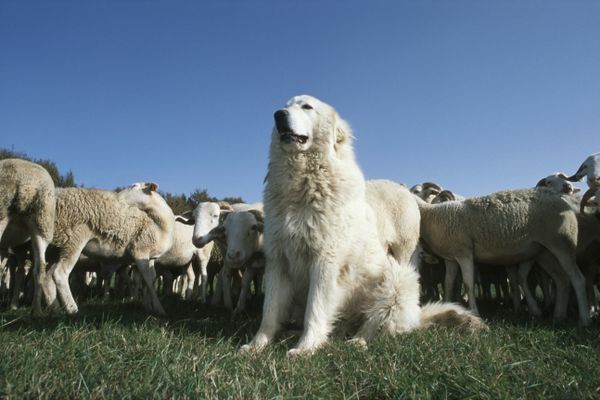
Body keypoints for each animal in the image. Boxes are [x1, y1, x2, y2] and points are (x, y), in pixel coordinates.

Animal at [44, 181, 173, 316]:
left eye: (134, 186)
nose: (117, 196)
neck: (160, 226)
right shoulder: (140, 252)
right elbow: (148, 280)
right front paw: (159, 309)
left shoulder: (150, 257)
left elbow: (150, 280)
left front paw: (149, 306)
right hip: (74, 238)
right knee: (60, 273)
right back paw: (72, 309)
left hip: (56, 246)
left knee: (47, 278)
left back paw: (54, 309)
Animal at [241, 94, 486, 356]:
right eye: (286, 105)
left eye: (307, 106)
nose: (278, 115)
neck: (302, 181)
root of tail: (417, 315)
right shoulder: (277, 261)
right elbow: (269, 312)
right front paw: (256, 346)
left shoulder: (325, 261)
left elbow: (315, 309)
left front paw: (306, 348)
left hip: (398, 278)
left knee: (376, 324)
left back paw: (357, 342)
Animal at [418, 189, 592, 326]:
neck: (431, 216)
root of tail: (565, 200)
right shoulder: (451, 258)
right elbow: (448, 283)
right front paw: (447, 305)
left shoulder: (464, 253)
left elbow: (468, 283)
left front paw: (474, 312)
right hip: (544, 253)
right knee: (562, 280)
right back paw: (558, 316)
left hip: (562, 243)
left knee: (577, 279)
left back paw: (584, 319)